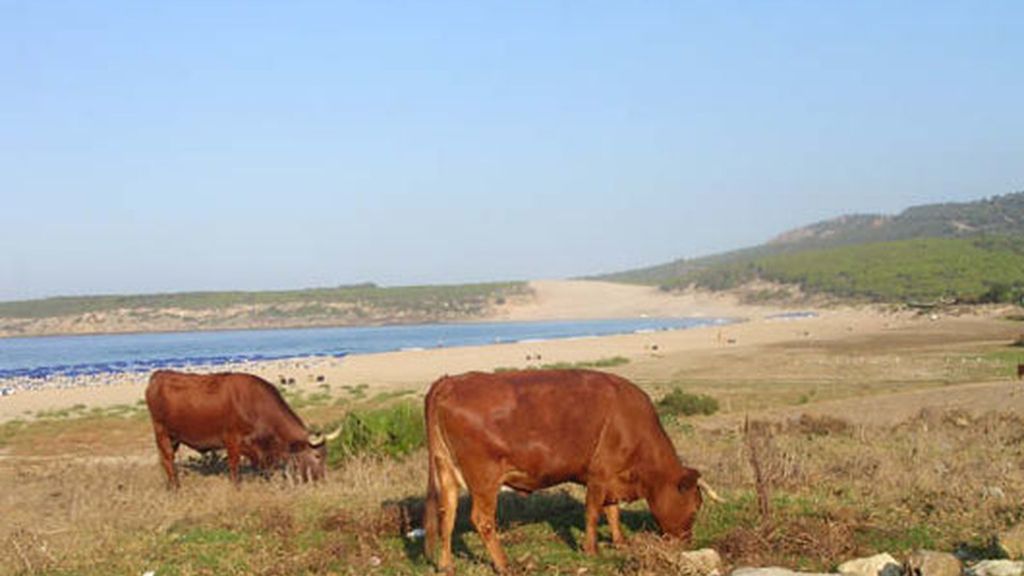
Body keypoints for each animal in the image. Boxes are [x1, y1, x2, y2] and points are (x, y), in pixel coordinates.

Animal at [146, 368, 335, 485]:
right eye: (317, 455)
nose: (323, 480)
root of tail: (159, 375)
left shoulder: (258, 451)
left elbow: (263, 471)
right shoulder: (232, 441)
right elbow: (235, 469)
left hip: (174, 437)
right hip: (161, 432)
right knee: (168, 459)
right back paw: (176, 487)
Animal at [419, 368, 716, 569]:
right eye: (694, 506)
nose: (687, 541)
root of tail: (451, 381)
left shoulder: (611, 477)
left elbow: (613, 511)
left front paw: (620, 542)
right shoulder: (599, 473)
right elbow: (594, 512)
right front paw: (591, 550)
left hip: (446, 471)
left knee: (447, 515)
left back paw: (446, 565)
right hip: (484, 477)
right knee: (482, 520)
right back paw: (504, 564)